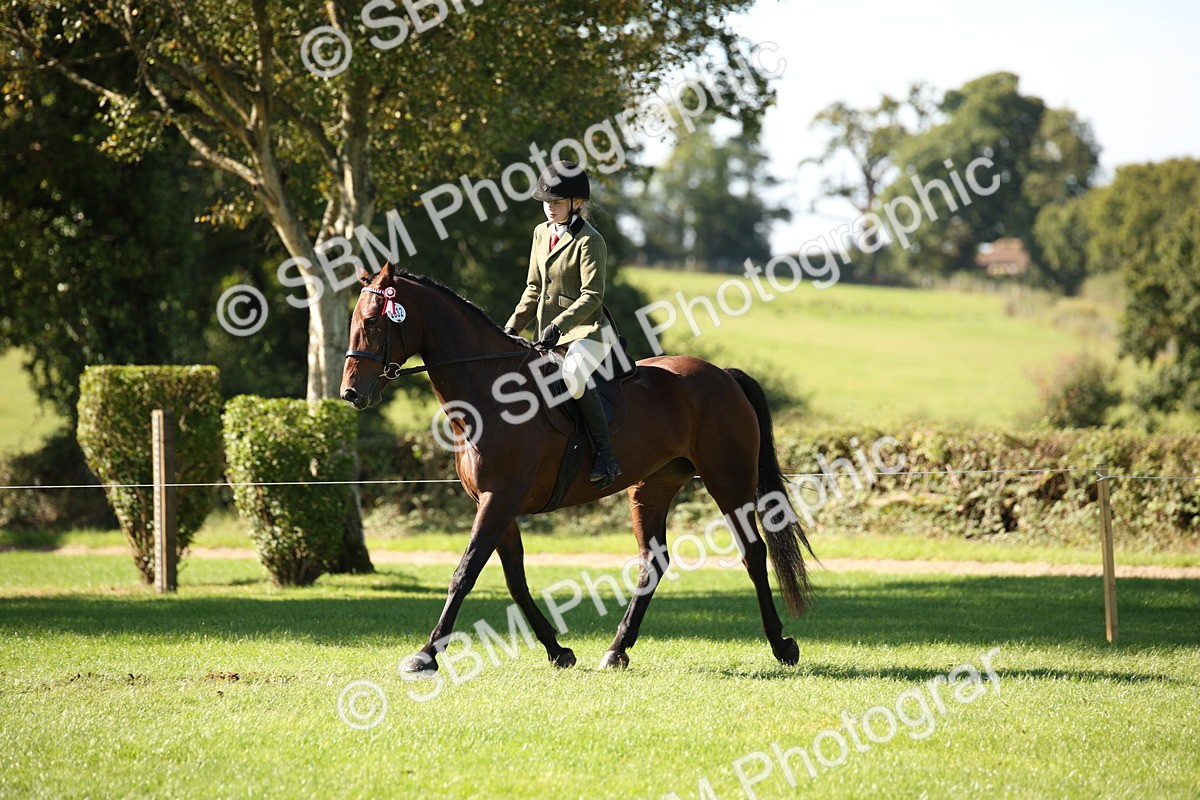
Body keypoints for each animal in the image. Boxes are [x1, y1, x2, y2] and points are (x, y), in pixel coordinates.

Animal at [341, 262, 815, 671]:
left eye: (375, 322)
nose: (351, 393)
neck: (487, 396)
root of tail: (722, 375)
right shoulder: (496, 504)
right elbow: (514, 580)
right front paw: (558, 650)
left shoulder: (499, 500)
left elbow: (465, 572)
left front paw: (426, 655)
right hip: (652, 487)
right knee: (653, 561)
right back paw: (617, 649)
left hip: (728, 480)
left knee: (753, 552)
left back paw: (781, 645)